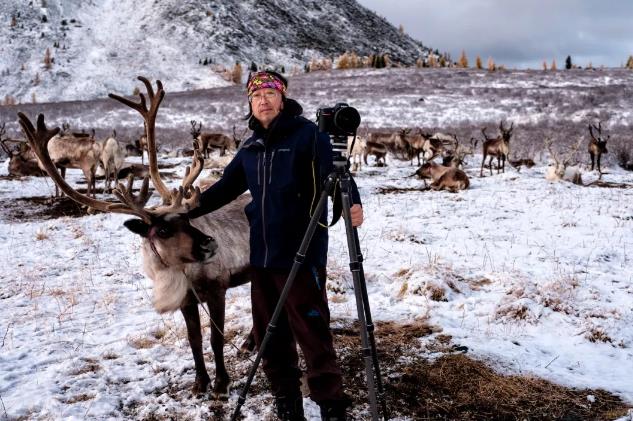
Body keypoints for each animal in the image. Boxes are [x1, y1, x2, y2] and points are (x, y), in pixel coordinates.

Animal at [17, 77, 254, 399]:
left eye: (187, 218)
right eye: (164, 230)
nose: (210, 243)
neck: (178, 272)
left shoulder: (218, 289)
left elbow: (216, 339)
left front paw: (220, 385)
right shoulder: (186, 301)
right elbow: (193, 340)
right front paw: (199, 383)